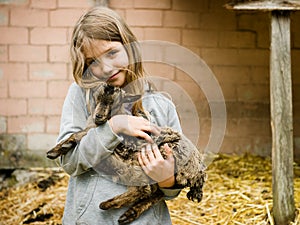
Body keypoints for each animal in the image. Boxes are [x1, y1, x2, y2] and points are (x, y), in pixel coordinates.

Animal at [47, 83, 206, 225]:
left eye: (115, 102)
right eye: (96, 97)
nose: (98, 116)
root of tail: (199, 171)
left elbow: (78, 133)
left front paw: (54, 151)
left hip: (143, 165)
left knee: (143, 190)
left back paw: (107, 205)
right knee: (155, 192)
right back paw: (128, 214)